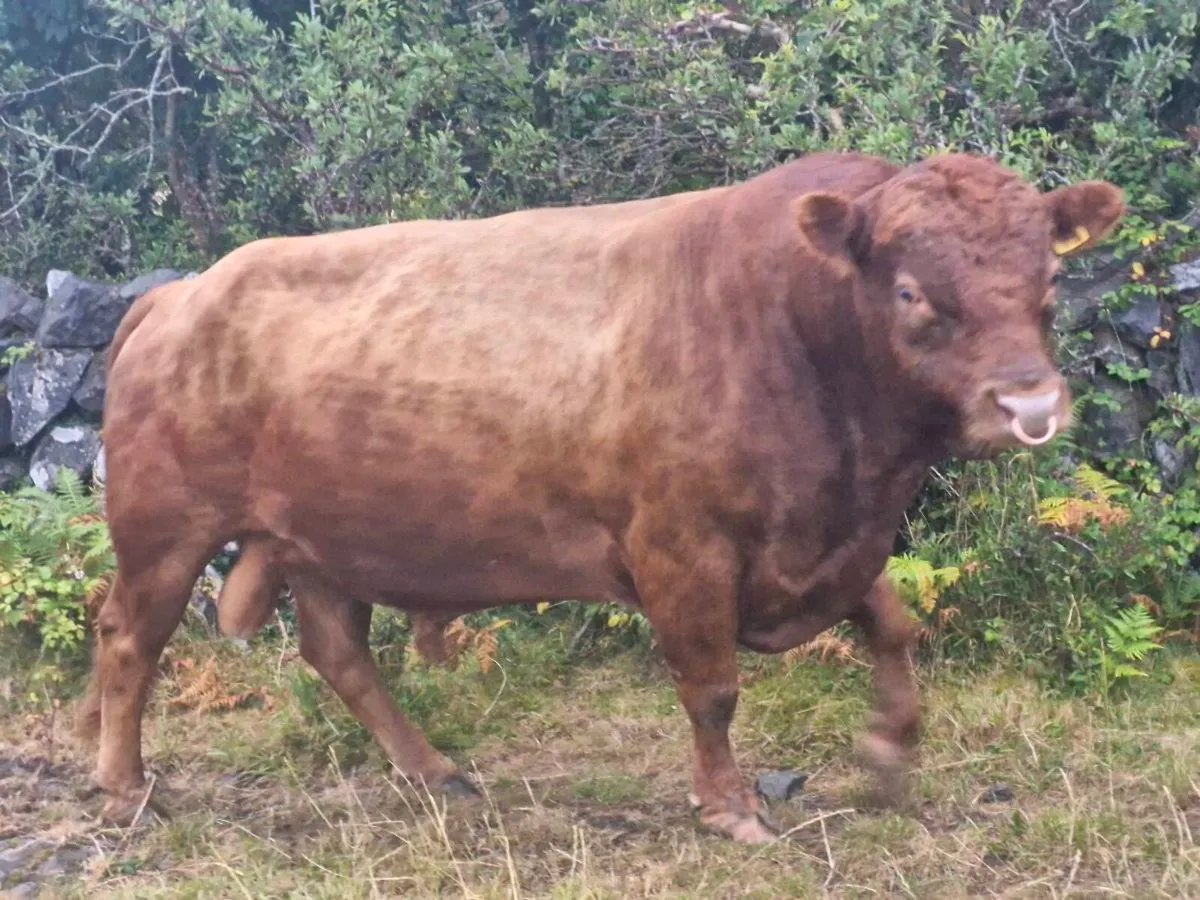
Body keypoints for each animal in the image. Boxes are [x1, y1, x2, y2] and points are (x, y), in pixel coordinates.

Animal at [75, 150, 1124, 843]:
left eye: (1051, 275)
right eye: (910, 291)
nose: (1029, 404)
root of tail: (179, 294)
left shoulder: (831, 541)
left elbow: (895, 626)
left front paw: (892, 750)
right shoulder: (683, 548)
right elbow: (712, 687)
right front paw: (729, 806)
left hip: (324, 538)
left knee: (337, 653)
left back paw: (435, 772)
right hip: (166, 528)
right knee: (130, 637)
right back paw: (126, 790)